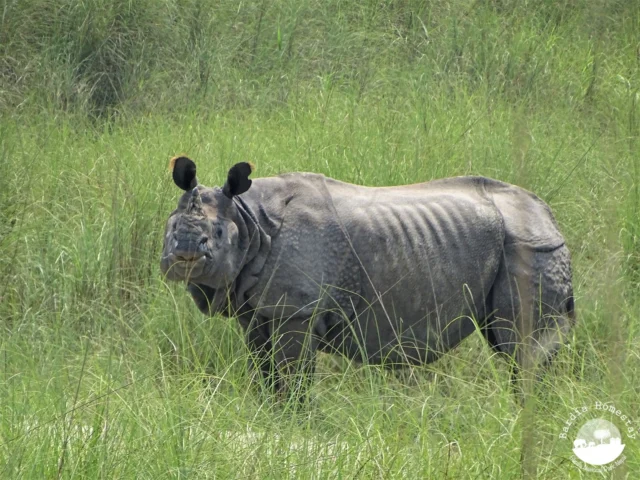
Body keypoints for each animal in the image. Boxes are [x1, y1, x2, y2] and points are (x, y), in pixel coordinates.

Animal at [160, 157, 575, 399]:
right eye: (170, 227)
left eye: (216, 235)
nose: (183, 256)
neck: (249, 218)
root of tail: (549, 216)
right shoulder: (257, 308)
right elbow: (263, 369)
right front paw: (268, 411)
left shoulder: (296, 309)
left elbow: (292, 375)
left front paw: (293, 418)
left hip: (533, 247)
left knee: (523, 349)